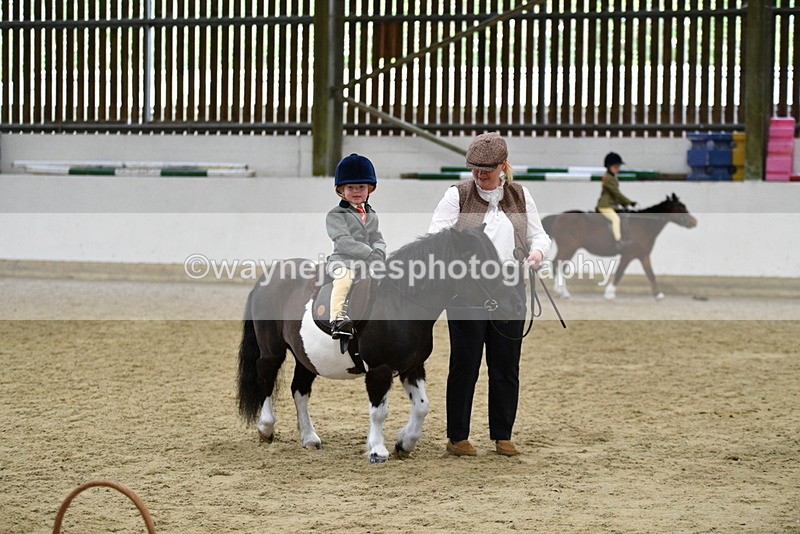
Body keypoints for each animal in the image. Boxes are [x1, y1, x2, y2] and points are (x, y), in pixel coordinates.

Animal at [236, 225, 525, 463]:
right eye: (477, 262)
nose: (515, 305)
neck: (401, 302)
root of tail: (267, 278)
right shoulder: (379, 369)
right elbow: (379, 411)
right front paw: (377, 449)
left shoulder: (412, 367)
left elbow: (422, 406)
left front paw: (404, 444)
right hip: (272, 350)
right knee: (265, 378)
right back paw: (266, 428)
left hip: (305, 356)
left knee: (300, 390)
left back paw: (309, 438)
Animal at [541, 193, 697, 300]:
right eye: (680, 207)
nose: (694, 222)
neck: (644, 225)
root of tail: (558, 216)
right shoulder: (628, 255)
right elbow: (619, 272)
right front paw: (609, 293)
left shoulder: (643, 255)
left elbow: (651, 274)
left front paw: (658, 294)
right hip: (568, 247)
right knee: (558, 265)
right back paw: (561, 292)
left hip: (569, 248)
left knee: (559, 266)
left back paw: (562, 292)